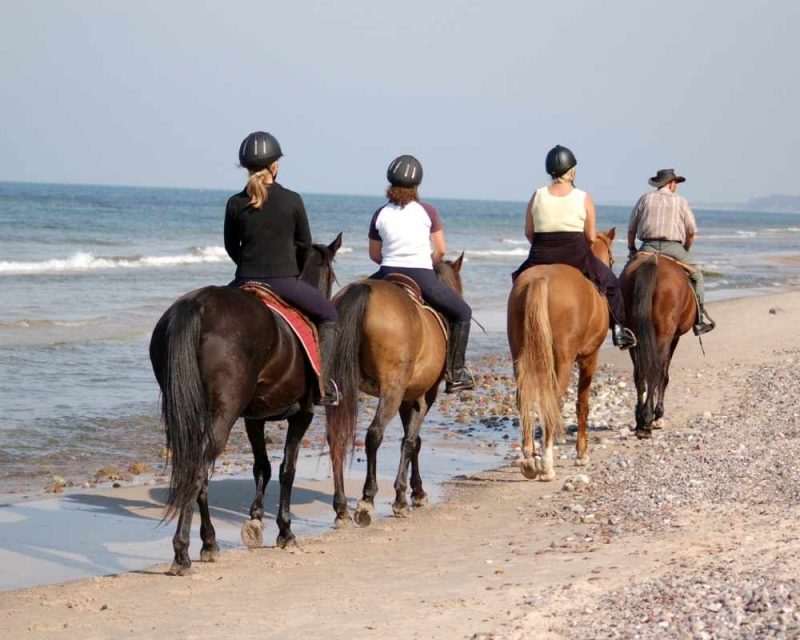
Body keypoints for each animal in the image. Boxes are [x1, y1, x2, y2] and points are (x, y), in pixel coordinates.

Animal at [150, 234, 340, 576]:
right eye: (331, 276)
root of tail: (198, 305)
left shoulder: (253, 418)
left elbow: (262, 466)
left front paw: (255, 519)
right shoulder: (302, 415)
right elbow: (287, 469)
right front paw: (284, 531)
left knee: (198, 472)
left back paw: (209, 543)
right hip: (224, 415)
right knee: (199, 471)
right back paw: (182, 553)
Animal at [324, 258, 466, 528]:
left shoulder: (407, 397)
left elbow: (413, 440)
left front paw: (415, 491)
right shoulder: (424, 395)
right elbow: (411, 441)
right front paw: (405, 496)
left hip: (338, 387)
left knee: (336, 437)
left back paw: (341, 508)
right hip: (392, 388)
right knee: (374, 434)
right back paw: (367, 499)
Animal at [506, 230, 620, 480]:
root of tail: (540, 279)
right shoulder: (590, 358)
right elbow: (582, 404)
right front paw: (581, 454)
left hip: (519, 357)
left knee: (524, 398)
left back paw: (529, 460)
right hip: (564, 362)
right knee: (554, 401)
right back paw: (547, 465)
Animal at [620, 252, 692, 438]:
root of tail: (653, 260)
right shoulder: (674, 338)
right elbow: (664, 374)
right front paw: (658, 414)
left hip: (633, 334)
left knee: (640, 372)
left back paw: (641, 419)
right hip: (664, 334)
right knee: (656, 370)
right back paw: (648, 418)